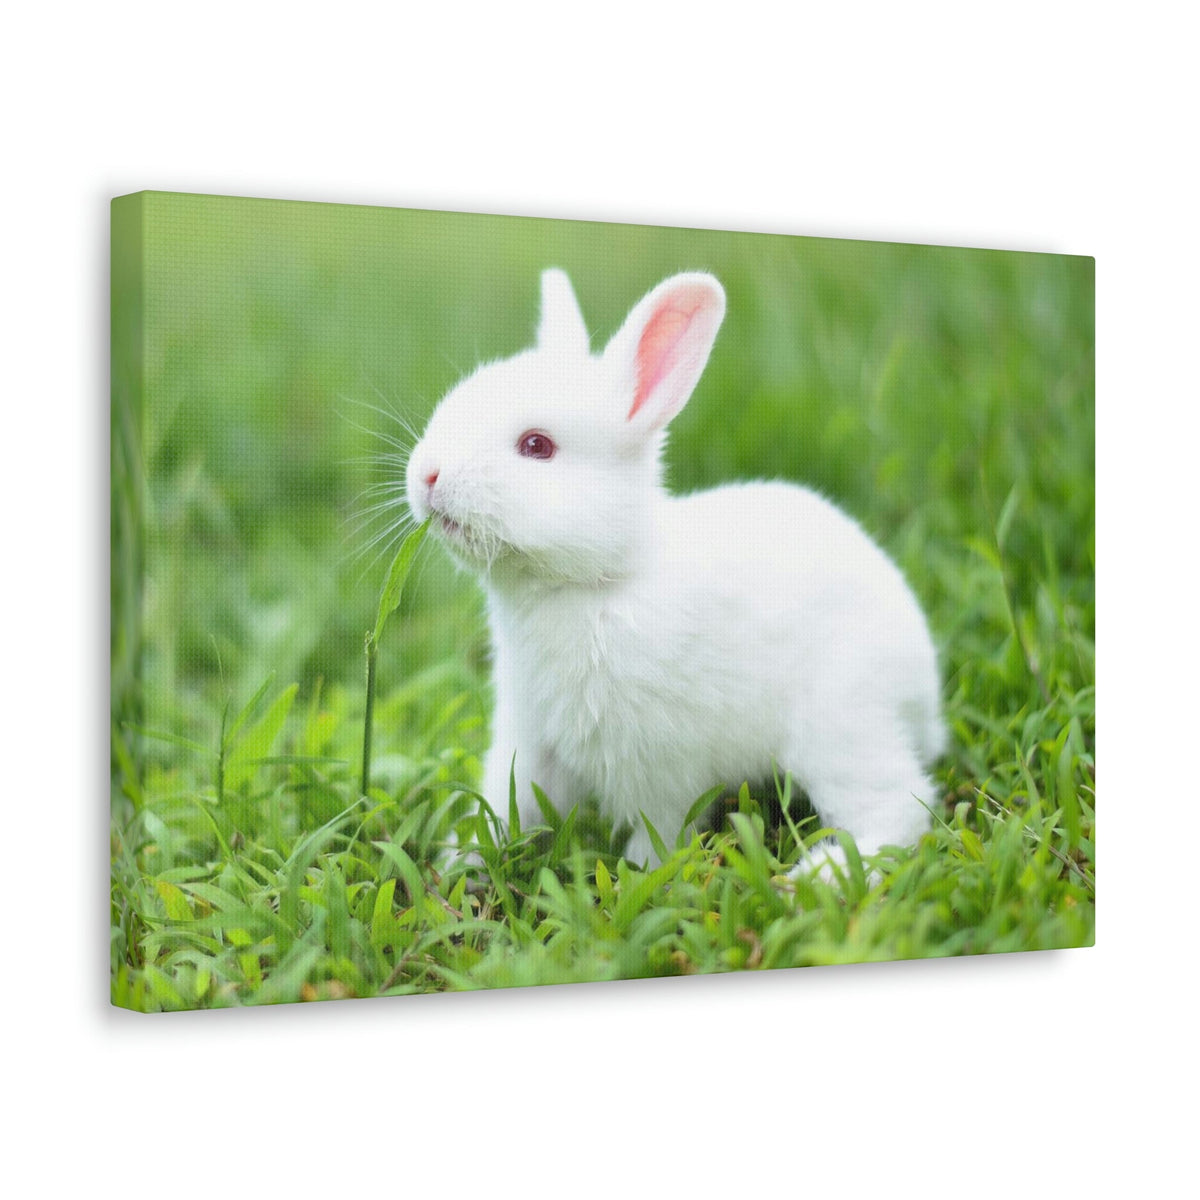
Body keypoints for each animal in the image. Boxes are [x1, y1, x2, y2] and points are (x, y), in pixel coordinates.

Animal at [406, 268, 945, 877]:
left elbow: (659, 833)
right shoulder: (529, 741)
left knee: (898, 813)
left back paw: (811, 879)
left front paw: (640, 876)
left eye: (536, 446)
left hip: (841, 725)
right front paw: (458, 864)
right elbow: (505, 806)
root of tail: (925, 690)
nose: (428, 475)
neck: (593, 585)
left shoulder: (659, 768)